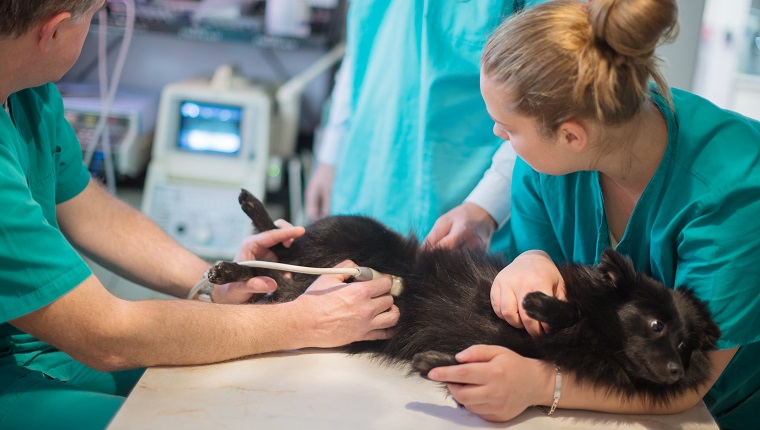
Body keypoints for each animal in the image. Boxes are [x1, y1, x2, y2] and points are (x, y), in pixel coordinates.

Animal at [211, 190, 720, 404]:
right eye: (655, 325)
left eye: (683, 346)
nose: (677, 372)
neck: (595, 343)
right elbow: (568, 306)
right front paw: (541, 304)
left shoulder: (513, 350)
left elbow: (462, 360)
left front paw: (431, 364)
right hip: (343, 232)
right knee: (282, 246)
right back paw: (243, 232)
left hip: (298, 291)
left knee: (277, 279)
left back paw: (233, 271)